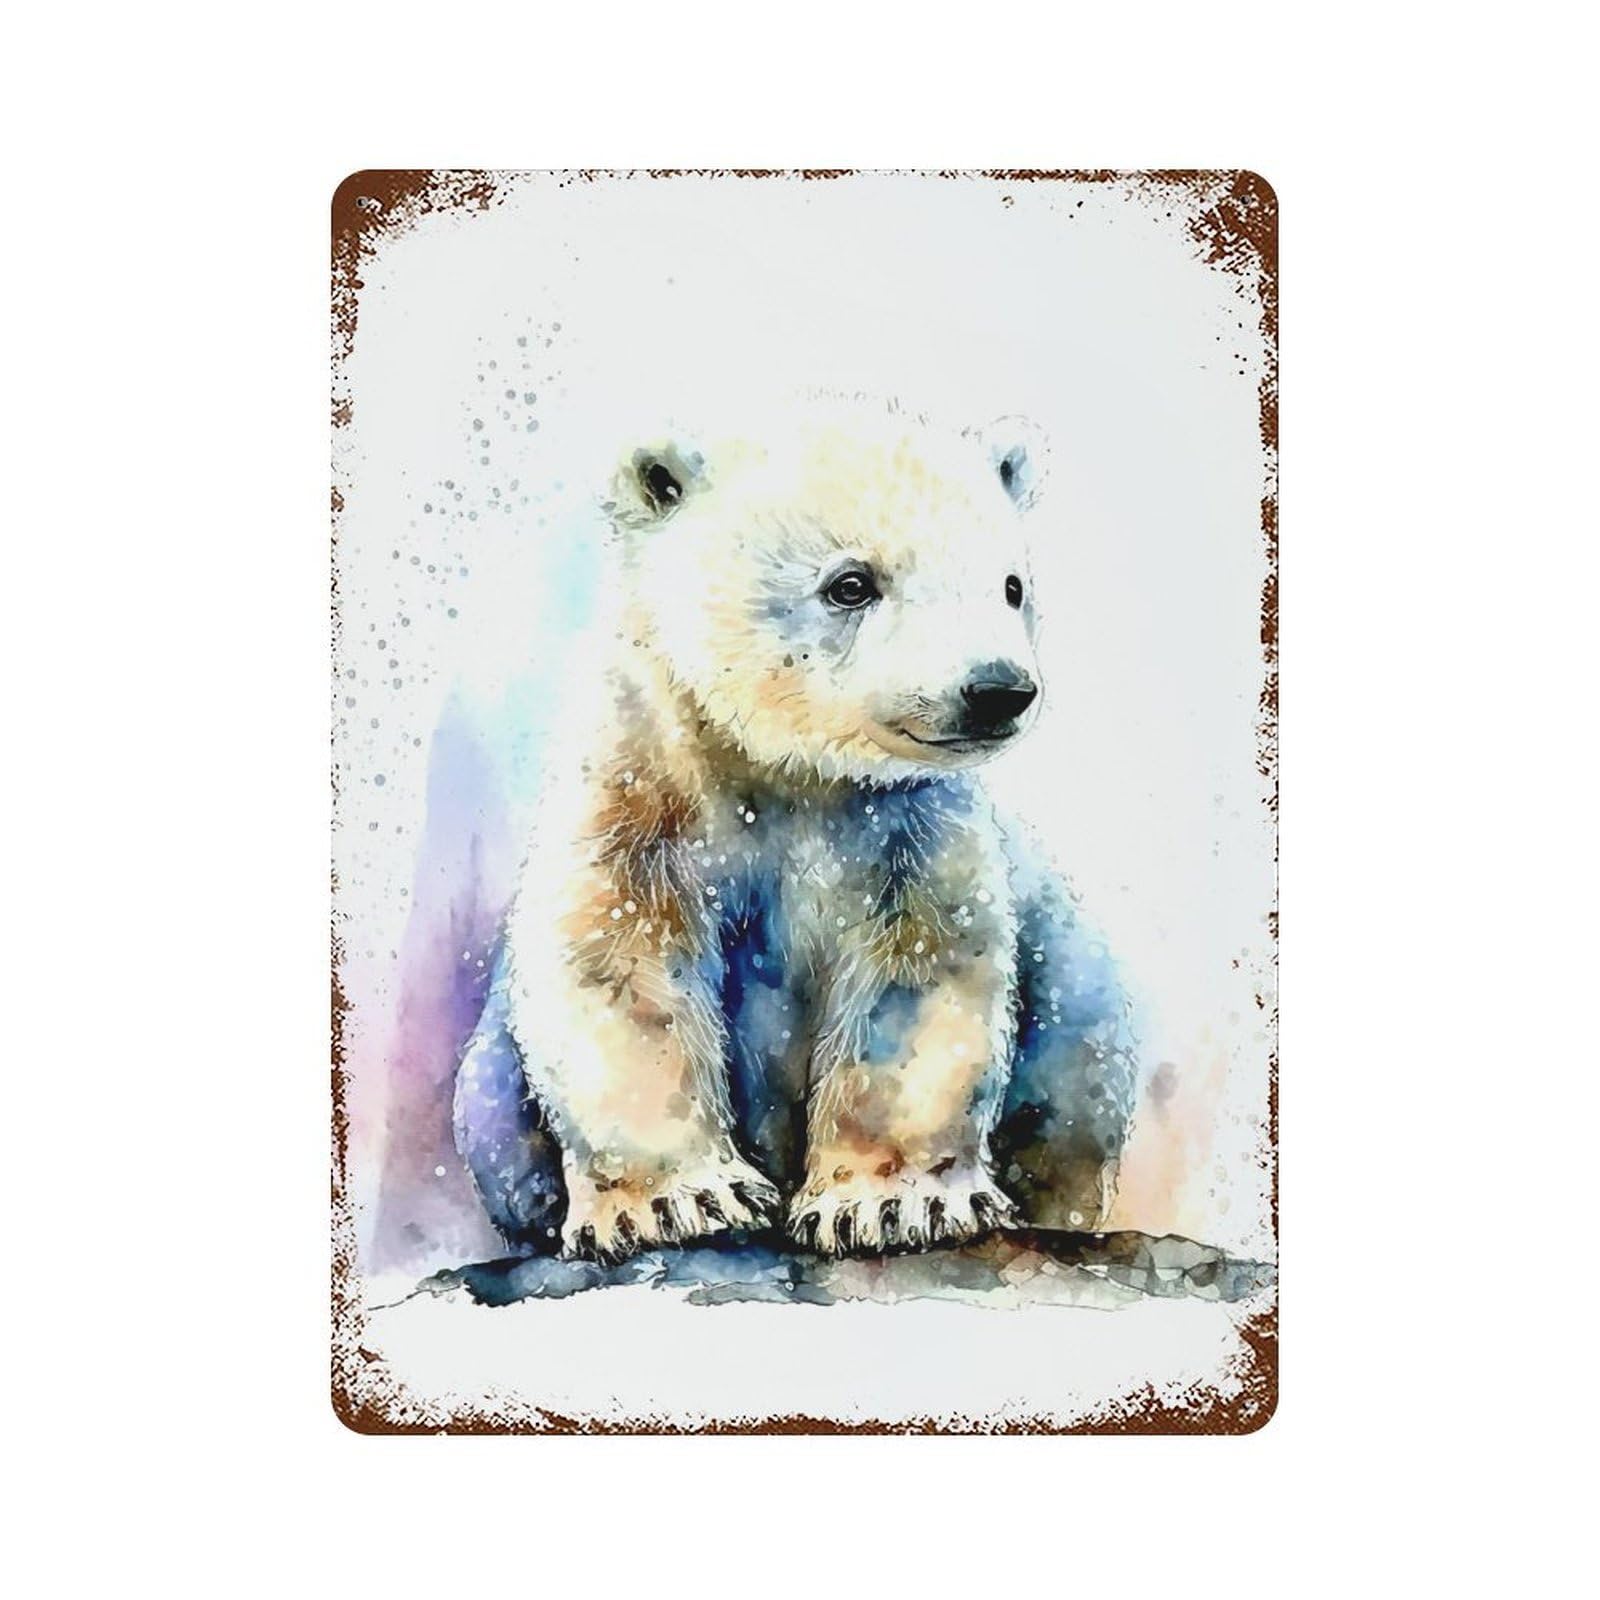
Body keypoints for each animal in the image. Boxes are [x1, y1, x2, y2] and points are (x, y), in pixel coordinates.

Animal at [452, 394, 1138, 1263]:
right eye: (850, 584)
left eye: (1011, 584)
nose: (997, 688)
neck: (793, 775)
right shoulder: (642, 786)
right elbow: (621, 961)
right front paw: (677, 1202)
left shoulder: (908, 823)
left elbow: (916, 976)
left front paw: (889, 1204)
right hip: (491, 1085)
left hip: (1076, 1011)